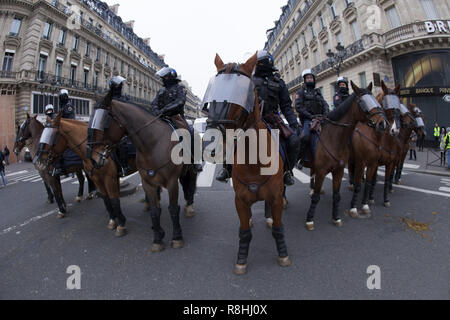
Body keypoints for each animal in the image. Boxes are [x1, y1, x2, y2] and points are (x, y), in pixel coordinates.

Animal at [207, 53, 292, 276]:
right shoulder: (240, 201)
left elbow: (279, 228)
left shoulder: (276, 197)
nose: (211, 144)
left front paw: (283, 255)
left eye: (241, 92)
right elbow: (244, 232)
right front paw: (241, 260)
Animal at [298, 80, 386, 230]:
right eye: (363, 102)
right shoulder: (323, 171)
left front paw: (337, 218)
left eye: (375, 100)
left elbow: (338, 195)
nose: (382, 124)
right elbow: (316, 197)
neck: (333, 137)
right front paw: (309, 220)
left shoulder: (340, 170)